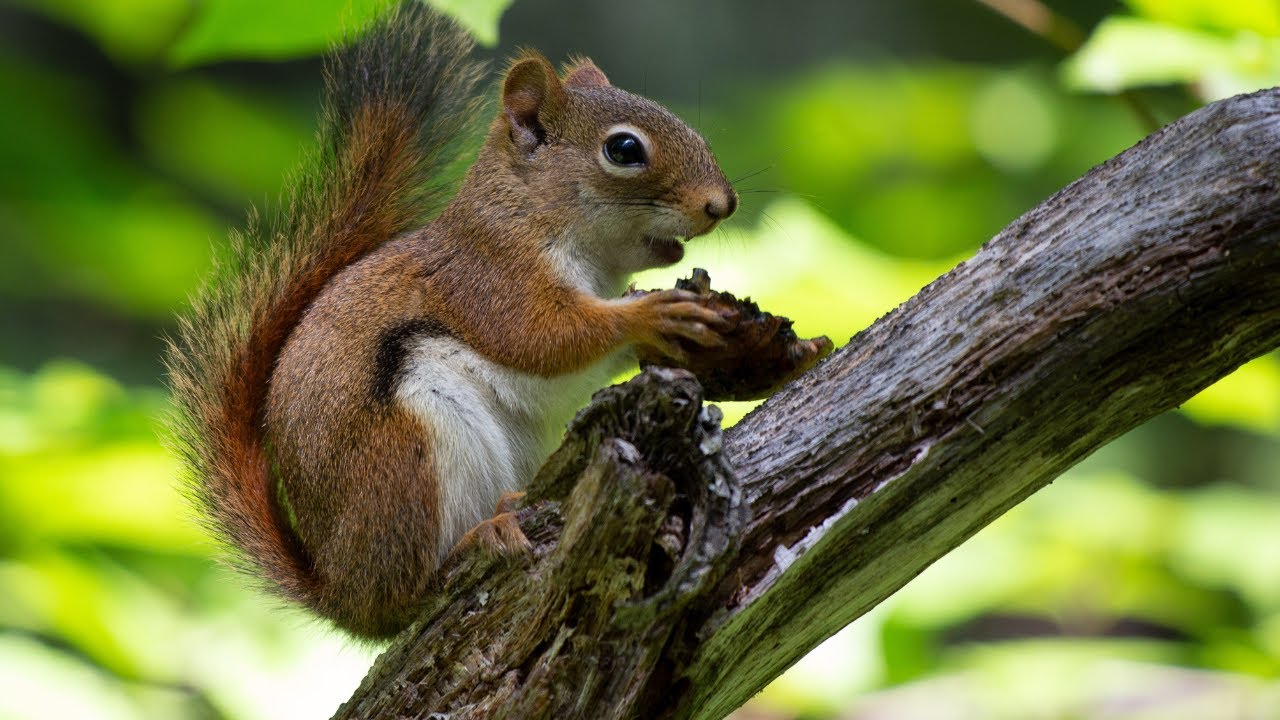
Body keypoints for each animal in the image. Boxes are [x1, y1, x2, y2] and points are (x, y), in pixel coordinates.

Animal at [165, 2, 737, 639]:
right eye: (624, 150)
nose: (722, 204)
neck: (528, 215)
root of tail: (344, 595)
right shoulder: (489, 280)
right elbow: (544, 338)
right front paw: (651, 312)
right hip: (408, 455)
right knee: (412, 589)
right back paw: (477, 538)